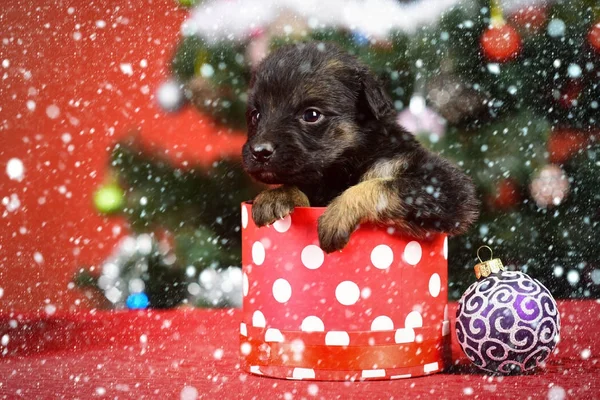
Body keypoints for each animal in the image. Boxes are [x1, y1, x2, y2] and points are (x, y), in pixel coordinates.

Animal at [241, 43, 480, 253]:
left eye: (311, 115)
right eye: (255, 115)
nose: (259, 152)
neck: (341, 168)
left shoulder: (445, 184)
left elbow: (382, 185)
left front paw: (339, 212)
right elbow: (300, 192)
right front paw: (278, 194)